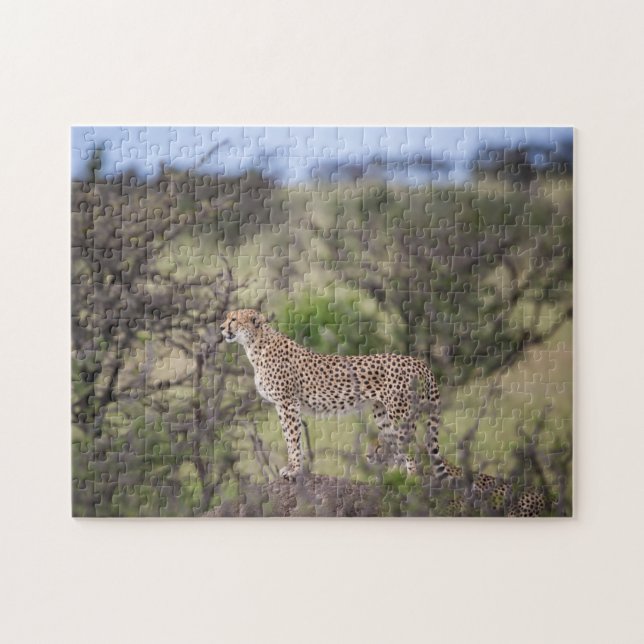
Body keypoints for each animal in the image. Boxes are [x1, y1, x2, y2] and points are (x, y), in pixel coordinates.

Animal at [220, 308, 461, 481]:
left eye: (234, 319)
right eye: (228, 318)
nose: (222, 328)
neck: (256, 344)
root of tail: (418, 362)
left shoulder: (287, 403)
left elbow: (292, 438)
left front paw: (294, 470)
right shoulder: (283, 405)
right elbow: (290, 437)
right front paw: (294, 468)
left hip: (401, 414)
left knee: (414, 450)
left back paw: (411, 481)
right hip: (383, 414)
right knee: (397, 447)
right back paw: (395, 479)